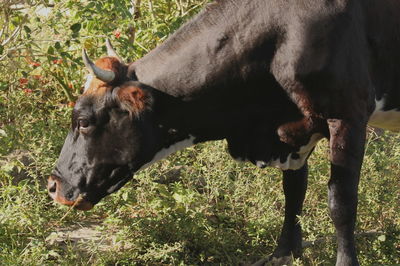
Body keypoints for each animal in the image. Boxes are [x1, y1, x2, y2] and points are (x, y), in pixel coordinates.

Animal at [49, 1, 400, 264]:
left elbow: (341, 202)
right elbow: (293, 192)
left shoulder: (347, 116)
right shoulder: (294, 130)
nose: (53, 185)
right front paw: (283, 254)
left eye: (83, 121)